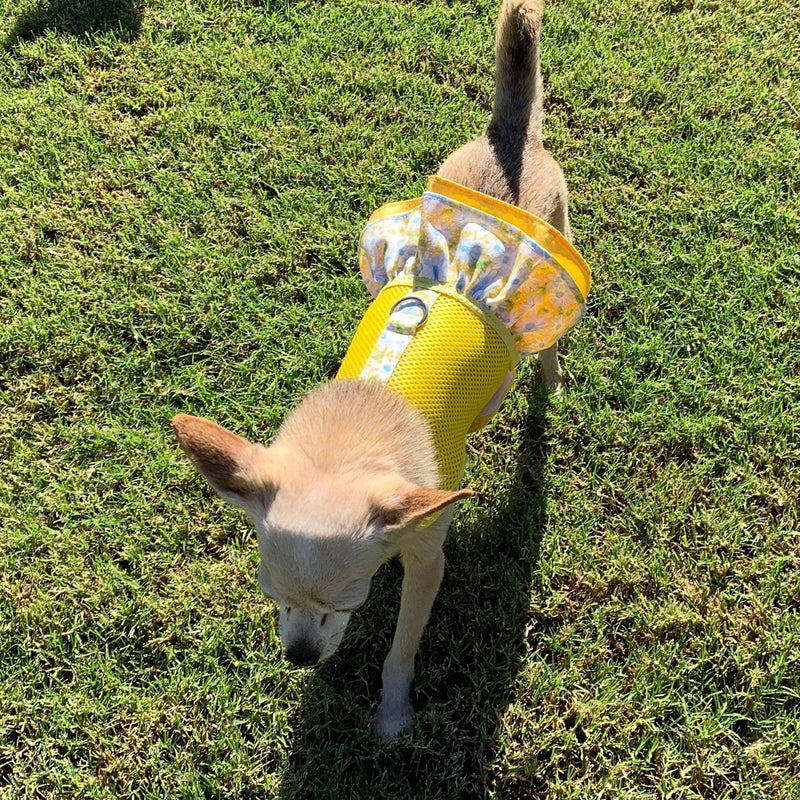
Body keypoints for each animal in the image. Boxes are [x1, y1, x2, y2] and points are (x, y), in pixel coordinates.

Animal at [173, 0, 588, 740]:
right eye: (270, 596)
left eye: (349, 601)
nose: (300, 658)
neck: (352, 436)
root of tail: (509, 141)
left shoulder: (427, 560)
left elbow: (402, 648)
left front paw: (394, 713)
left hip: (554, 261)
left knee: (545, 345)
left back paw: (550, 380)